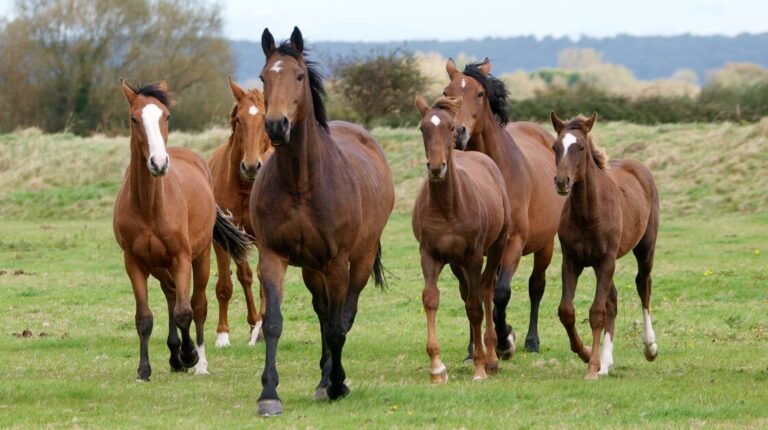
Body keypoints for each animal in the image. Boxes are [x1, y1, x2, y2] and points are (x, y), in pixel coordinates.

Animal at [114, 79, 252, 381]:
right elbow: (144, 318)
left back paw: (198, 361)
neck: (150, 205)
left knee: (197, 305)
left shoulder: (181, 258)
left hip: (200, 258)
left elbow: (185, 312)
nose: (158, 163)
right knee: (170, 294)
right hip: (159, 265)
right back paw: (174, 355)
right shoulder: (134, 262)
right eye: (134, 118)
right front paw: (144, 370)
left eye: (166, 116)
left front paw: (190, 355)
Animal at [251, 27, 395, 416]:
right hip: (311, 269)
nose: (276, 125)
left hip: (357, 261)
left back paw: (332, 381)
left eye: (299, 76)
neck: (302, 183)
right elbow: (274, 322)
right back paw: (322, 379)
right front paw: (269, 394)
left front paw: (339, 385)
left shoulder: (337, 262)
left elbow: (337, 327)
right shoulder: (273, 256)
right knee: (323, 311)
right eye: (264, 76)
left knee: (343, 315)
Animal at [413, 95, 510, 383]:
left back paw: (490, 357)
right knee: (469, 294)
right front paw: (436, 368)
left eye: (451, 128)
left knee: (486, 291)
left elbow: (476, 307)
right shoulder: (429, 255)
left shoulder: (474, 256)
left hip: (496, 248)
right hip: (457, 264)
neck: (448, 206)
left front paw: (479, 367)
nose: (436, 167)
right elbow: (431, 299)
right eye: (423, 128)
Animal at [443, 58, 564, 357]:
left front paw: (504, 340)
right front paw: (474, 348)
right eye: (446, 93)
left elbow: (501, 293)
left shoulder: (513, 242)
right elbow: (470, 294)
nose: (458, 133)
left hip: (544, 245)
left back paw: (531, 341)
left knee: (536, 287)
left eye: (479, 94)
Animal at [550, 112, 659, 380]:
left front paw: (591, 368)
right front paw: (588, 354)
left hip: (645, 248)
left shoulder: (606, 260)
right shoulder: (571, 261)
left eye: (580, 147)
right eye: (556, 146)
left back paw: (650, 347)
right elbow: (567, 311)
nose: (562, 181)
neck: (588, 212)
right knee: (614, 300)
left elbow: (596, 312)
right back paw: (606, 362)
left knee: (643, 285)